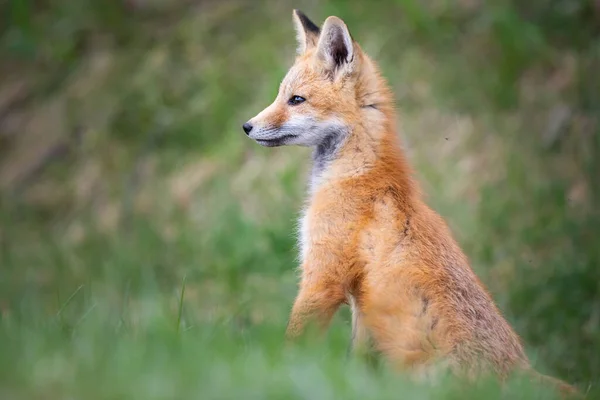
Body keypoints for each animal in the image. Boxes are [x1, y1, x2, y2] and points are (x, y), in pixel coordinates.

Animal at [241, 9, 580, 396]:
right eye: (280, 95)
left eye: (296, 100)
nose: (246, 126)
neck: (357, 174)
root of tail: (520, 374)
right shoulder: (360, 307)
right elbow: (354, 367)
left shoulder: (323, 276)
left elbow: (292, 346)